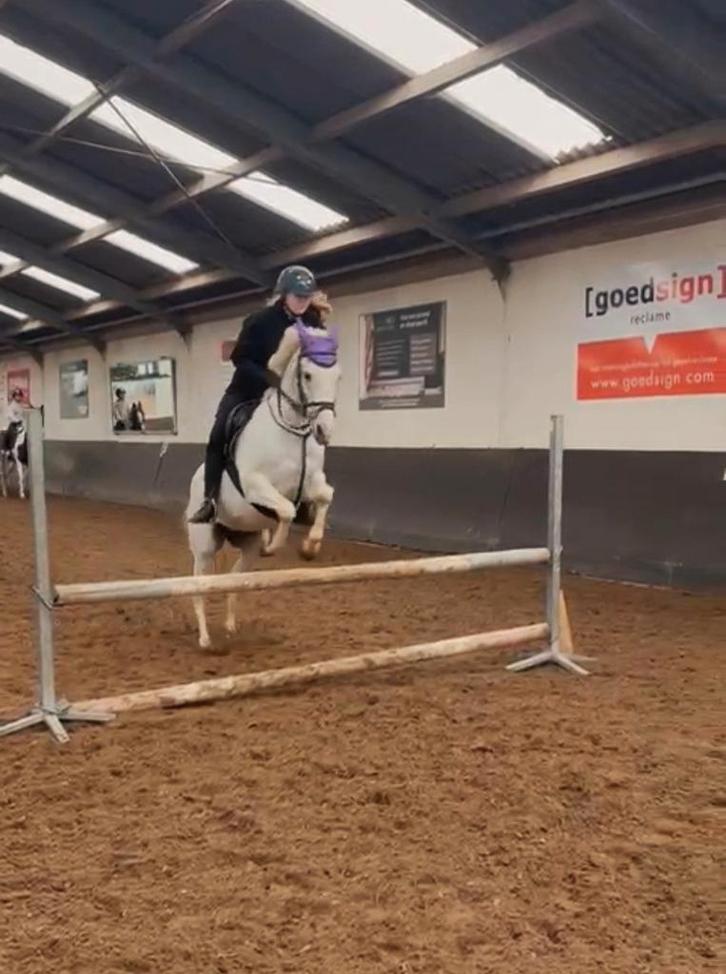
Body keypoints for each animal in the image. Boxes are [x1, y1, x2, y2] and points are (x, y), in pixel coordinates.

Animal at [186, 320, 340, 648]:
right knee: (198, 586)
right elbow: (286, 511)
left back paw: (230, 626)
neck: (293, 433)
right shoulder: (255, 485)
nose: (324, 431)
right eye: (308, 375)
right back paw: (205, 639)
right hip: (204, 546)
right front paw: (277, 545)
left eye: (338, 375)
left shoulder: (311, 483)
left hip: (246, 547)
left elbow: (324, 497)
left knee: (233, 580)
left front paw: (310, 546)